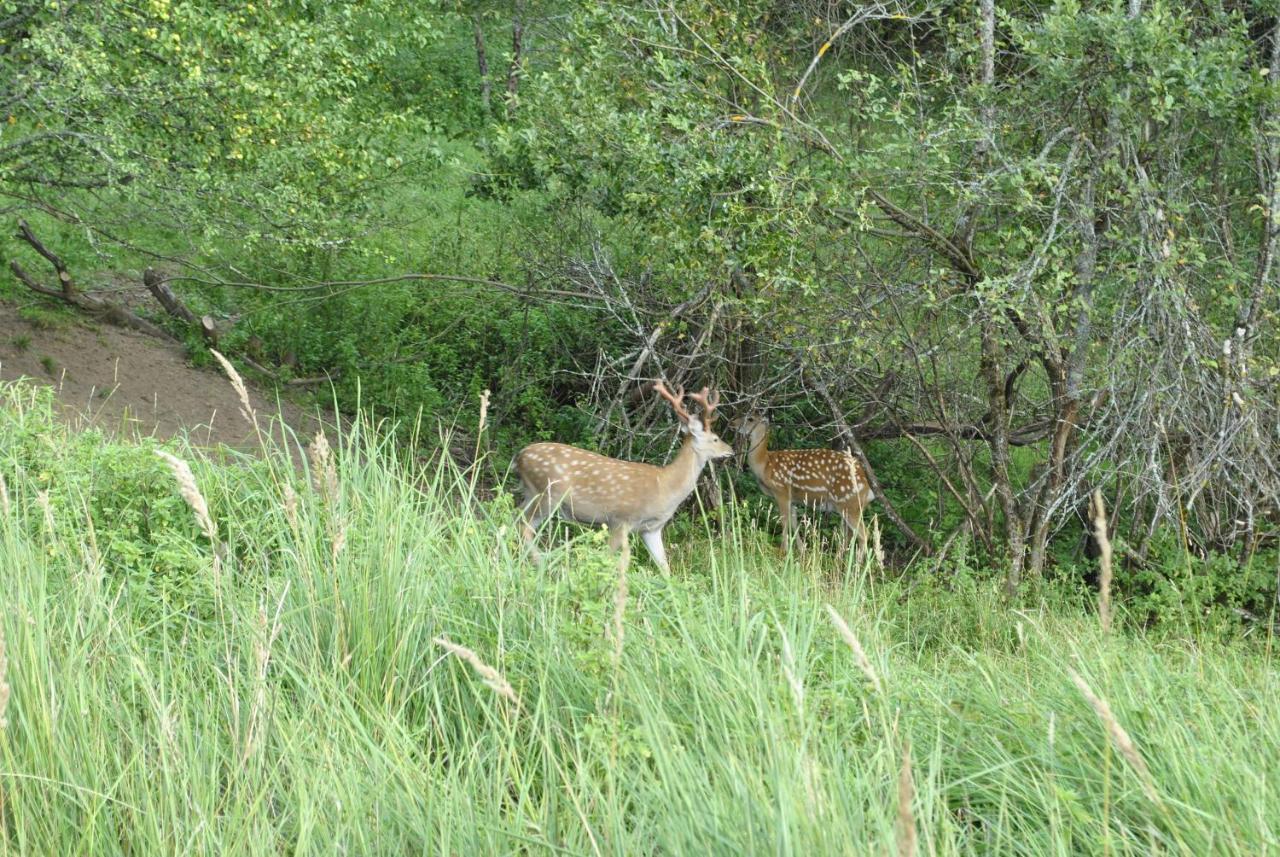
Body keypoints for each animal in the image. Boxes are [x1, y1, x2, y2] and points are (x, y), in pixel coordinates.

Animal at [509, 381, 732, 570]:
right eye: (715, 438)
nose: (730, 450)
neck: (666, 485)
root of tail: (519, 457)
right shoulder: (621, 520)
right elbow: (608, 557)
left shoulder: (651, 529)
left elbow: (664, 567)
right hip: (547, 495)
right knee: (523, 526)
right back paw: (543, 564)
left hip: (531, 494)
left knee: (514, 518)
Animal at [737, 414, 875, 557]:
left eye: (750, 419)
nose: (733, 423)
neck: (765, 465)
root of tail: (868, 489)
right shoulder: (792, 498)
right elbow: (794, 521)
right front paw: (802, 550)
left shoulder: (782, 491)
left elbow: (784, 520)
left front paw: (783, 551)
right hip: (850, 506)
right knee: (849, 533)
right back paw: (840, 558)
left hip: (849, 503)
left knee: (864, 533)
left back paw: (856, 562)